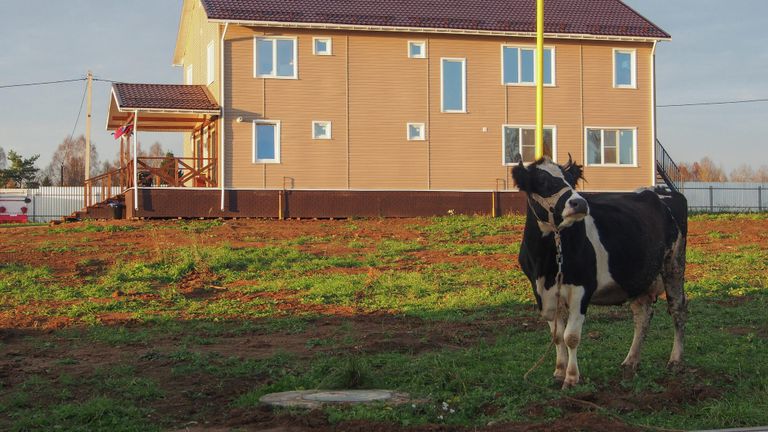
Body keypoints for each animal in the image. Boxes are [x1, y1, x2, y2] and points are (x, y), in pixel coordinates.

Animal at [512, 156, 688, 389]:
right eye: (542, 181)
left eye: (570, 180)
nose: (579, 203)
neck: (547, 262)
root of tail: (657, 191)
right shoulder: (542, 293)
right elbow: (557, 335)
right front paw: (558, 371)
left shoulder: (582, 288)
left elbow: (571, 336)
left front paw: (571, 378)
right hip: (637, 277)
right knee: (643, 315)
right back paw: (630, 362)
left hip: (674, 265)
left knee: (677, 309)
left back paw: (675, 360)